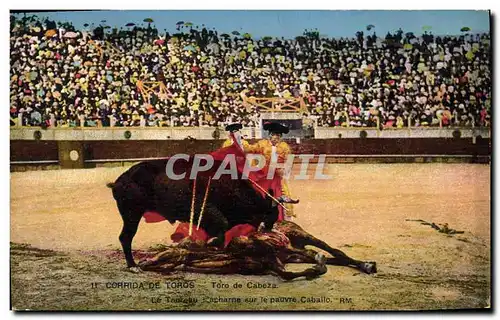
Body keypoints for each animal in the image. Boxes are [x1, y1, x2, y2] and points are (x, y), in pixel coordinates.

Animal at [108, 159, 280, 268]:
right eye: (269, 216)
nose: (270, 232)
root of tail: (119, 181)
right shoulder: (204, 210)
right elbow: (221, 226)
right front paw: (212, 244)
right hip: (132, 214)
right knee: (125, 237)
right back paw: (133, 265)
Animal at [137, 220, 376, 280]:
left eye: (163, 254)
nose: (142, 263)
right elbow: (285, 273)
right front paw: (316, 269)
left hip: (303, 235)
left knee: (336, 252)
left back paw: (367, 265)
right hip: (297, 252)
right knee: (326, 256)